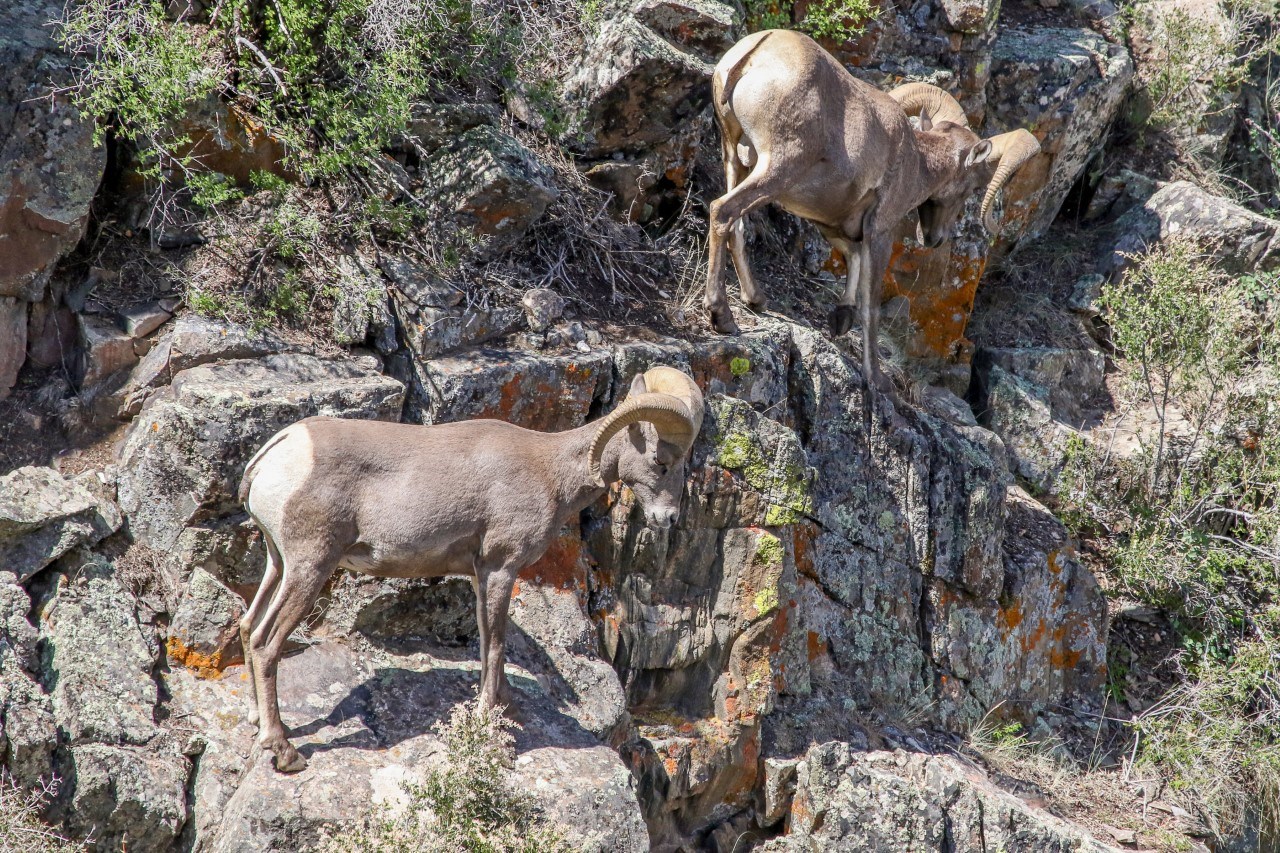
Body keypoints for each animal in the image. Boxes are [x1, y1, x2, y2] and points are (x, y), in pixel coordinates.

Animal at [237, 366, 703, 772]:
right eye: (661, 462)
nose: (668, 519)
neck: (550, 472)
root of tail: (276, 452)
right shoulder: (500, 569)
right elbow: (496, 645)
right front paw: (487, 721)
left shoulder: (481, 575)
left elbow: (484, 642)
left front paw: (504, 708)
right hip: (311, 567)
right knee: (265, 643)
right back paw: (284, 751)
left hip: (278, 564)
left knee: (246, 626)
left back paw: (258, 722)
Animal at [703, 29, 1040, 392]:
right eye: (971, 188)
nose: (934, 238)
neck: (914, 159)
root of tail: (755, 53)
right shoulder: (880, 231)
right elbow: (871, 305)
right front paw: (875, 377)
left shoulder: (834, 224)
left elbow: (852, 259)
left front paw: (840, 318)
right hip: (777, 167)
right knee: (722, 211)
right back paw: (722, 316)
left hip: (734, 158)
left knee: (735, 225)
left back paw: (755, 299)